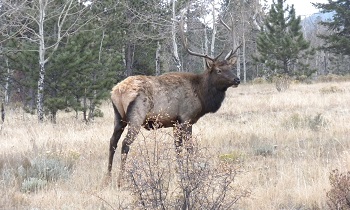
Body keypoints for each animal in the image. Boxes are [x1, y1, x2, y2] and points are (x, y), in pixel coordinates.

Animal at [105, 19, 239, 188]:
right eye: (219, 70)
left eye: (231, 67)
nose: (237, 79)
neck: (201, 95)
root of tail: (118, 91)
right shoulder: (186, 119)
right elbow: (188, 147)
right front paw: (189, 173)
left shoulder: (175, 122)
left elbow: (177, 148)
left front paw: (180, 172)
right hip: (136, 117)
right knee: (125, 144)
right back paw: (120, 181)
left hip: (118, 117)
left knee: (112, 142)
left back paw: (107, 178)